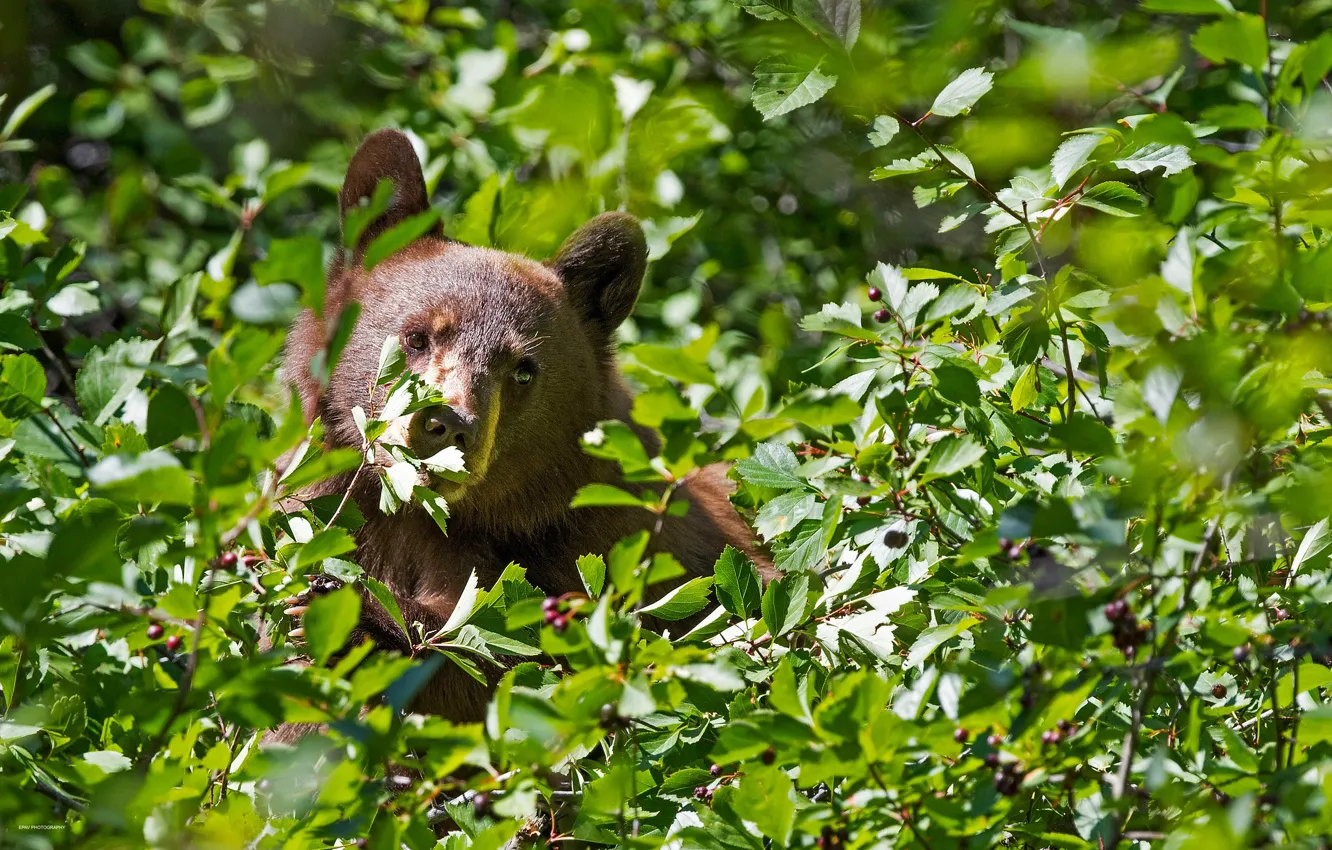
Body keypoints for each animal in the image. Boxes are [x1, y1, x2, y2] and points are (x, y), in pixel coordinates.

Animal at [281, 129, 772, 730]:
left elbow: (501, 658)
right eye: (417, 336)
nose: (445, 424)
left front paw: (360, 619)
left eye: (522, 369)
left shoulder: (596, 555)